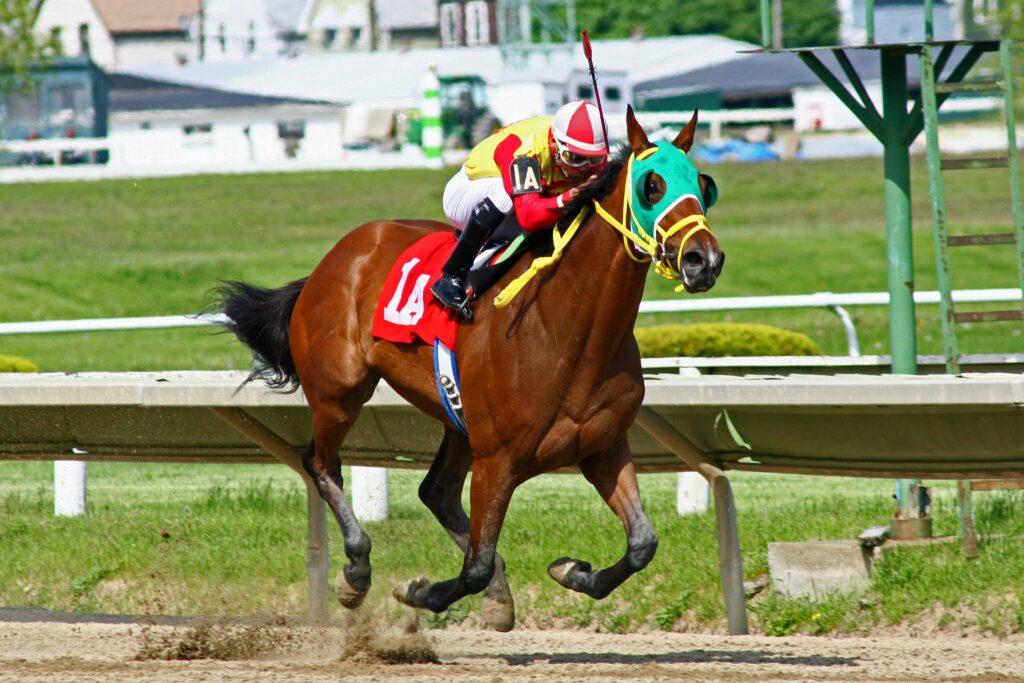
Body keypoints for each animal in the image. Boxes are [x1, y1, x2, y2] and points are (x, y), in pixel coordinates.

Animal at [216, 107, 724, 631]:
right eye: (652, 186)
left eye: (704, 185)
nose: (703, 260)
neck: (567, 330)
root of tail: (334, 259)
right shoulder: (497, 459)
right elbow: (475, 565)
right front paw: (419, 592)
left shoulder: (603, 447)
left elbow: (643, 544)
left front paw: (571, 570)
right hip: (339, 392)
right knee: (319, 461)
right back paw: (356, 569)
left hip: (457, 418)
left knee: (435, 491)